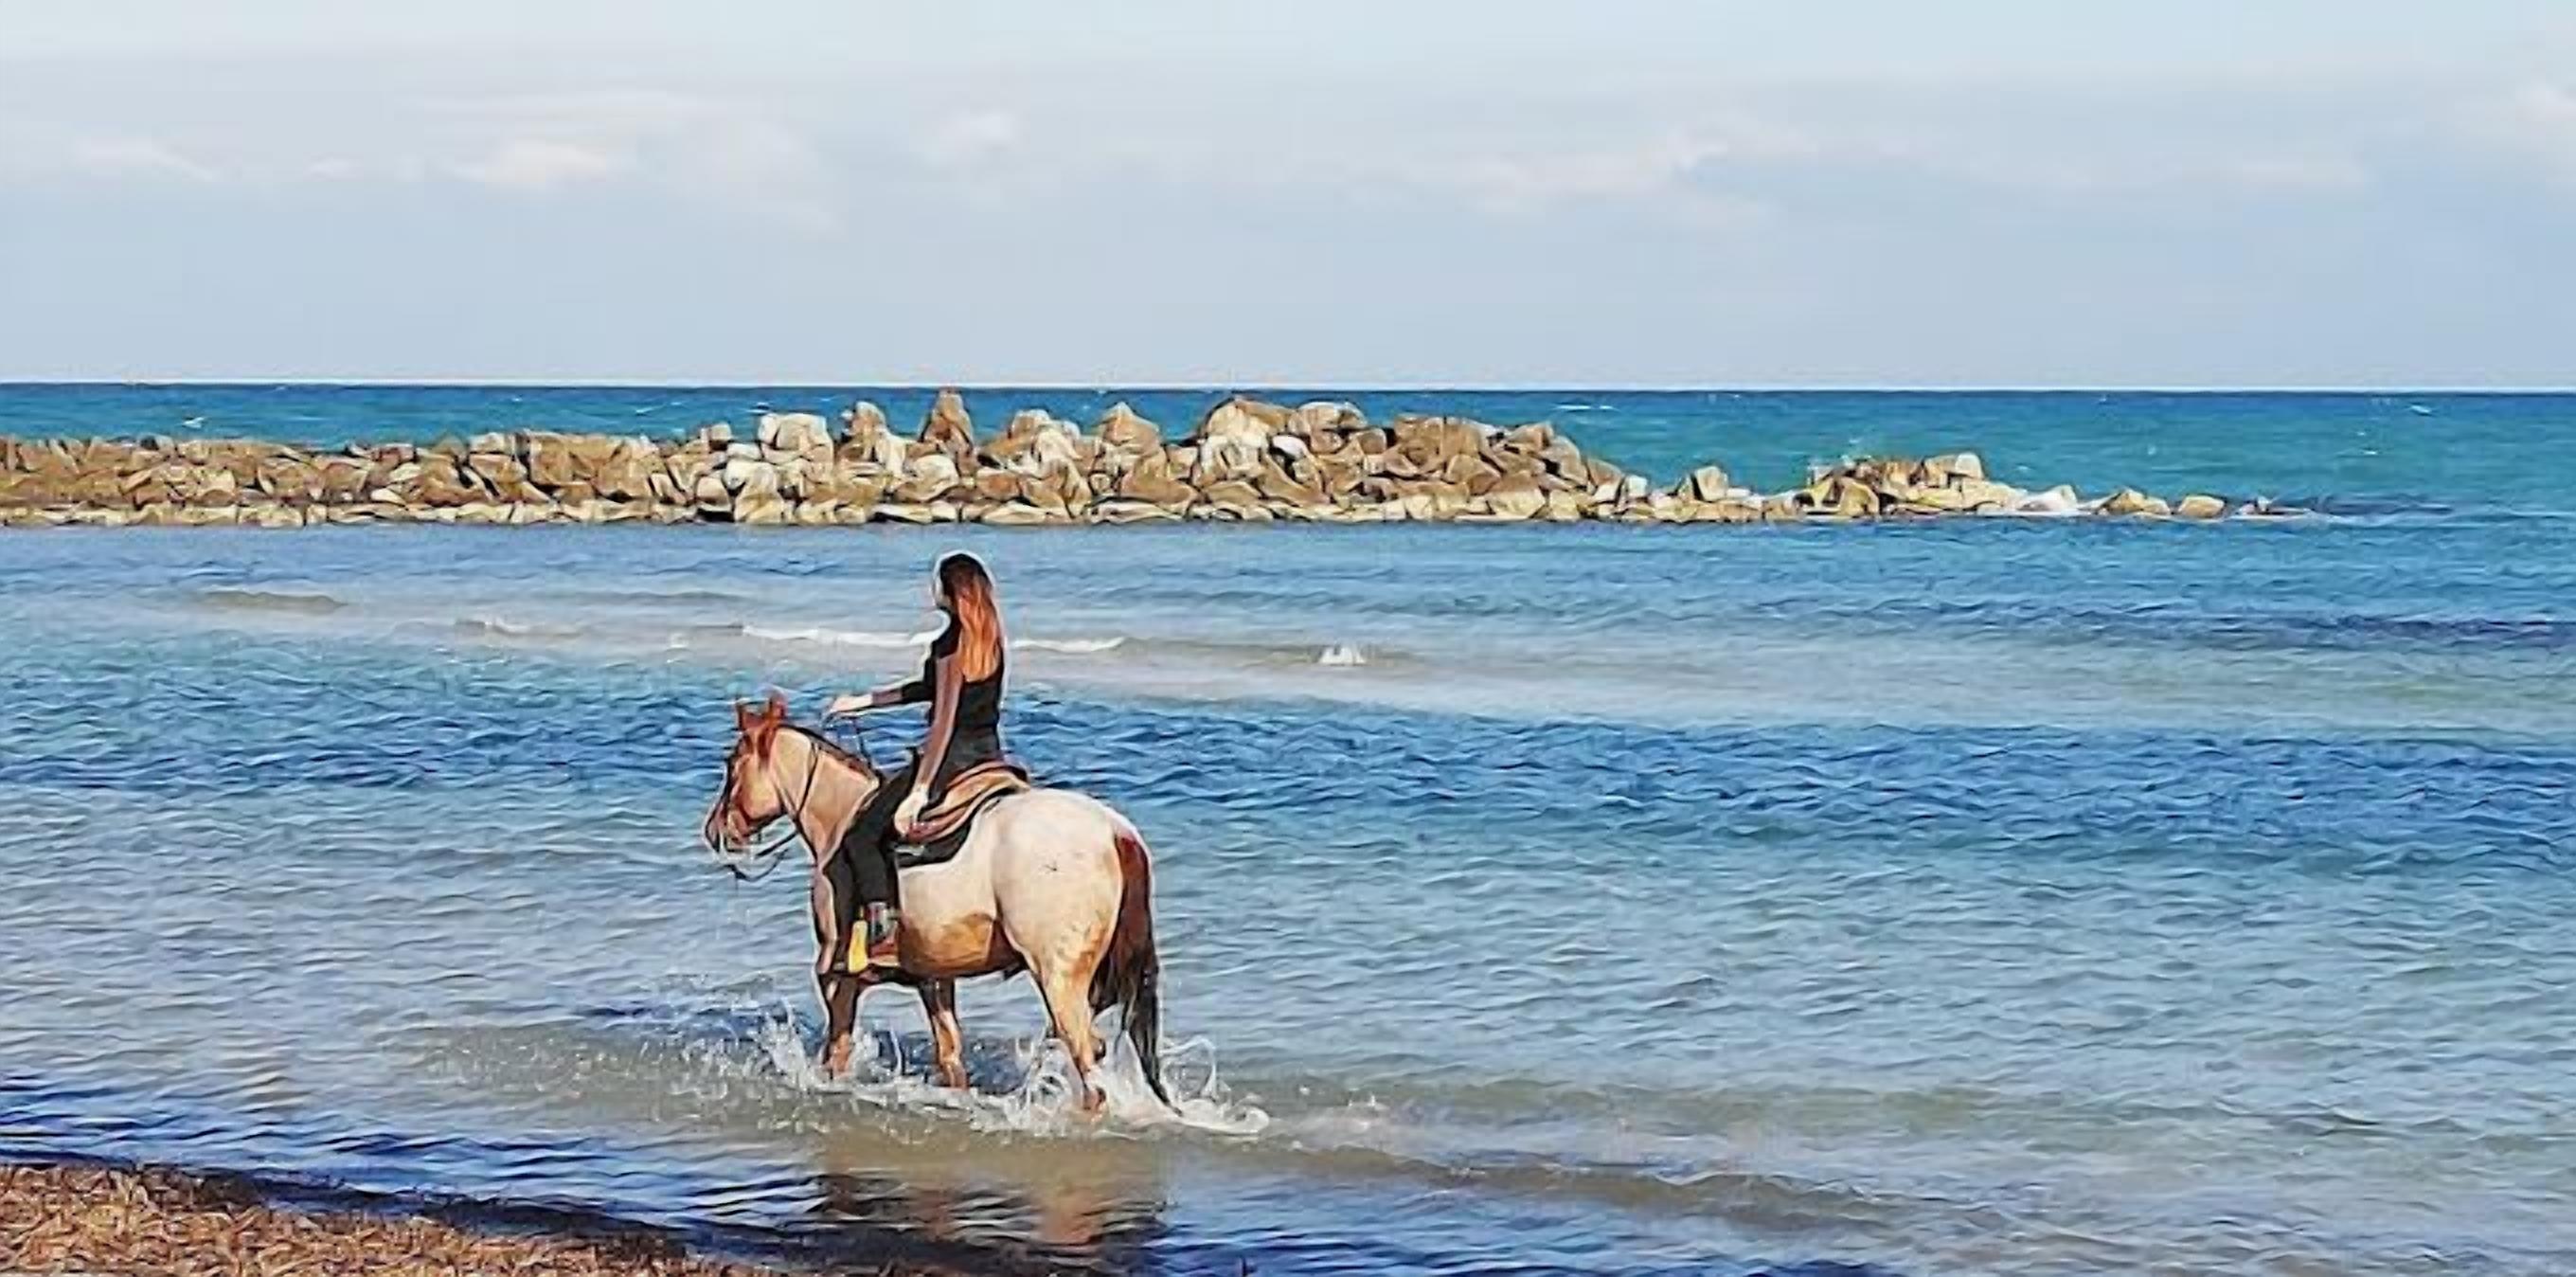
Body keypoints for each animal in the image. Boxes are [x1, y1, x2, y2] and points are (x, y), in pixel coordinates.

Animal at [701, 691, 1168, 1114]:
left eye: (731, 763)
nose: (714, 830)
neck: (839, 819)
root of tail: (1114, 831)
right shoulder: (934, 978)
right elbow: (950, 1057)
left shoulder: (838, 975)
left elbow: (837, 1051)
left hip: (1059, 979)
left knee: (1090, 1068)